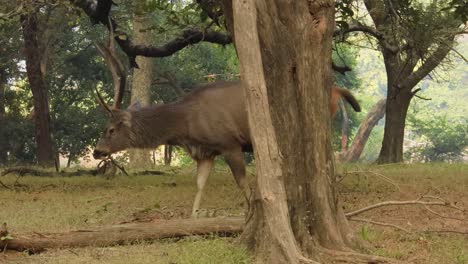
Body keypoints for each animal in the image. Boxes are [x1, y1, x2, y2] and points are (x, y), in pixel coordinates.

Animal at [92, 32, 362, 217]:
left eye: (111, 129)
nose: (97, 151)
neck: (186, 124)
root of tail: (337, 89)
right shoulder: (207, 152)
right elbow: (200, 185)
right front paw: (192, 217)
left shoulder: (229, 143)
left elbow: (243, 183)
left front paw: (250, 212)